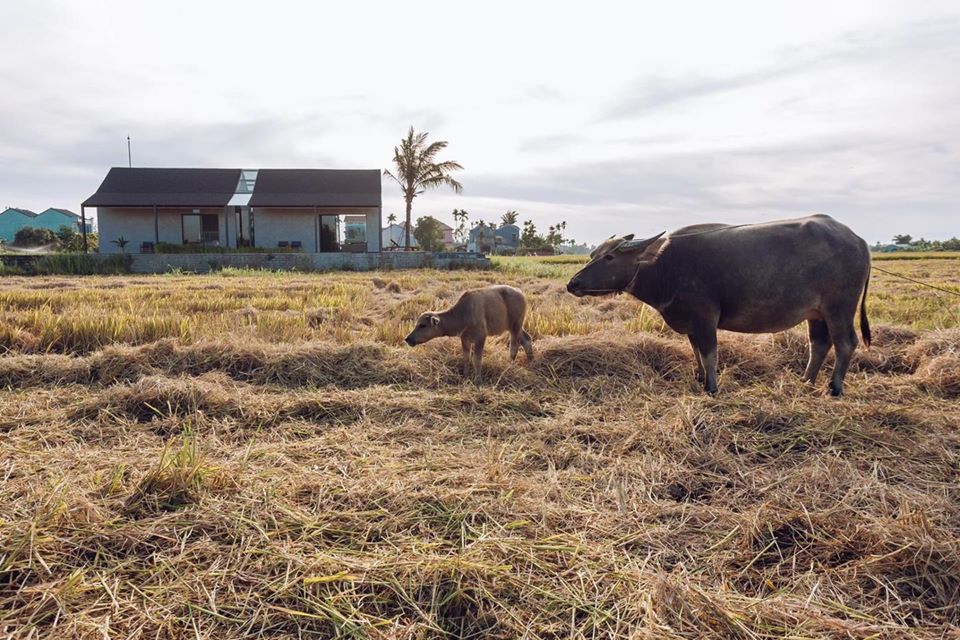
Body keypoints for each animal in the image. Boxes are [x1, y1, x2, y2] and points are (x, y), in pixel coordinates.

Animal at [564, 215, 872, 396]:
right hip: (816, 313)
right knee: (819, 343)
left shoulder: (705, 318)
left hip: (839, 309)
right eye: (593, 254)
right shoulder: (690, 322)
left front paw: (712, 387)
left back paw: (834, 388)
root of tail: (859, 241)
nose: (572, 283)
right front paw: (700, 379)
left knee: (846, 343)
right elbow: (697, 352)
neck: (666, 266)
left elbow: (710, 353)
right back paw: (806, 381)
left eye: (610, 258)